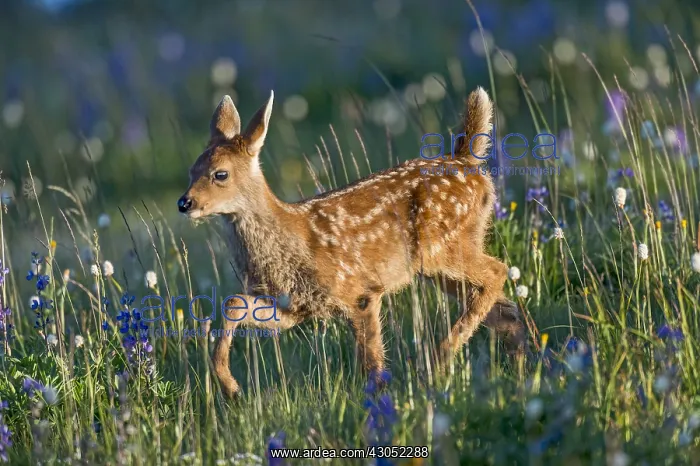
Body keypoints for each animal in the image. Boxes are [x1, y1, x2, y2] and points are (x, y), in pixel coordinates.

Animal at [177, 87, 525, 399]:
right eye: (192, 170)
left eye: (220, 174)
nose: (185, 203)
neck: (290, 240)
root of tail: (466, 161)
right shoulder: (293, 307)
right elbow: (233, 303)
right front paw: (230, 387)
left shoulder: (360, 292)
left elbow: (372, 363)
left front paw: (379, 404)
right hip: (442, 266)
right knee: (504, 307)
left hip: (442, 249)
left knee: (498, 271)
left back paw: (439, 359)